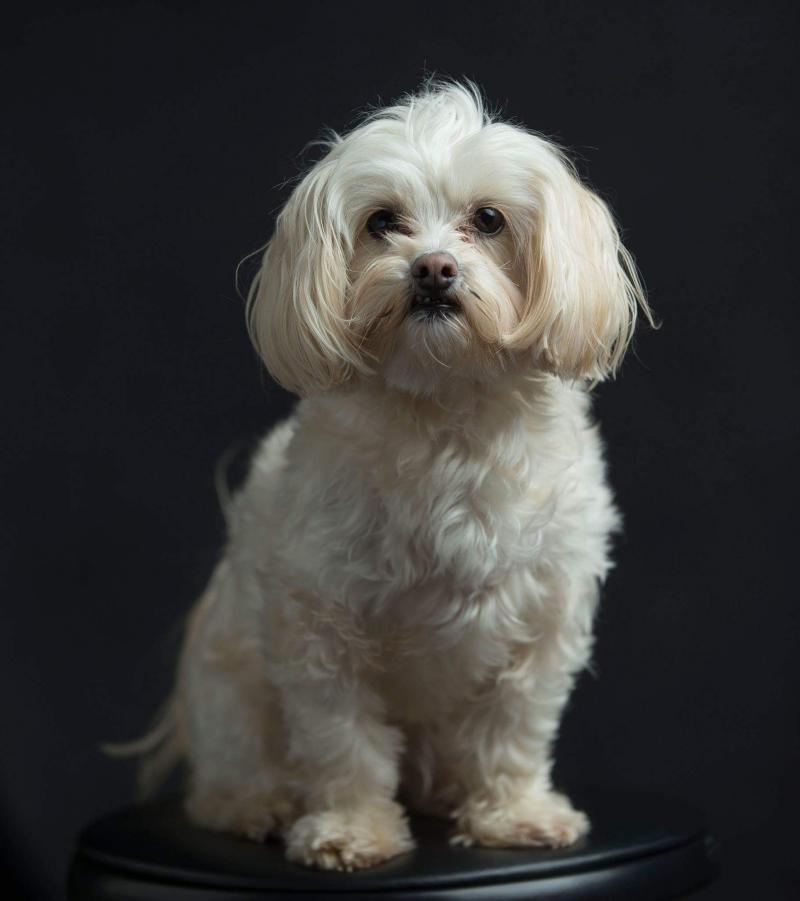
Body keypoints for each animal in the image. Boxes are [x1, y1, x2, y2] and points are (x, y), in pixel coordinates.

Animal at [112, 81, 648, 868]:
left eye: (489, 219)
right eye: (382, 222)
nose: (431, 268)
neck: (446, 413)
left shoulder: (541, 624)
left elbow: (513, 731)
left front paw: (513, 815)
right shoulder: (321, 627)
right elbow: (343, 742)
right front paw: (351, 830)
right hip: (230, 694)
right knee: (228, 778)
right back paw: (256, 804)